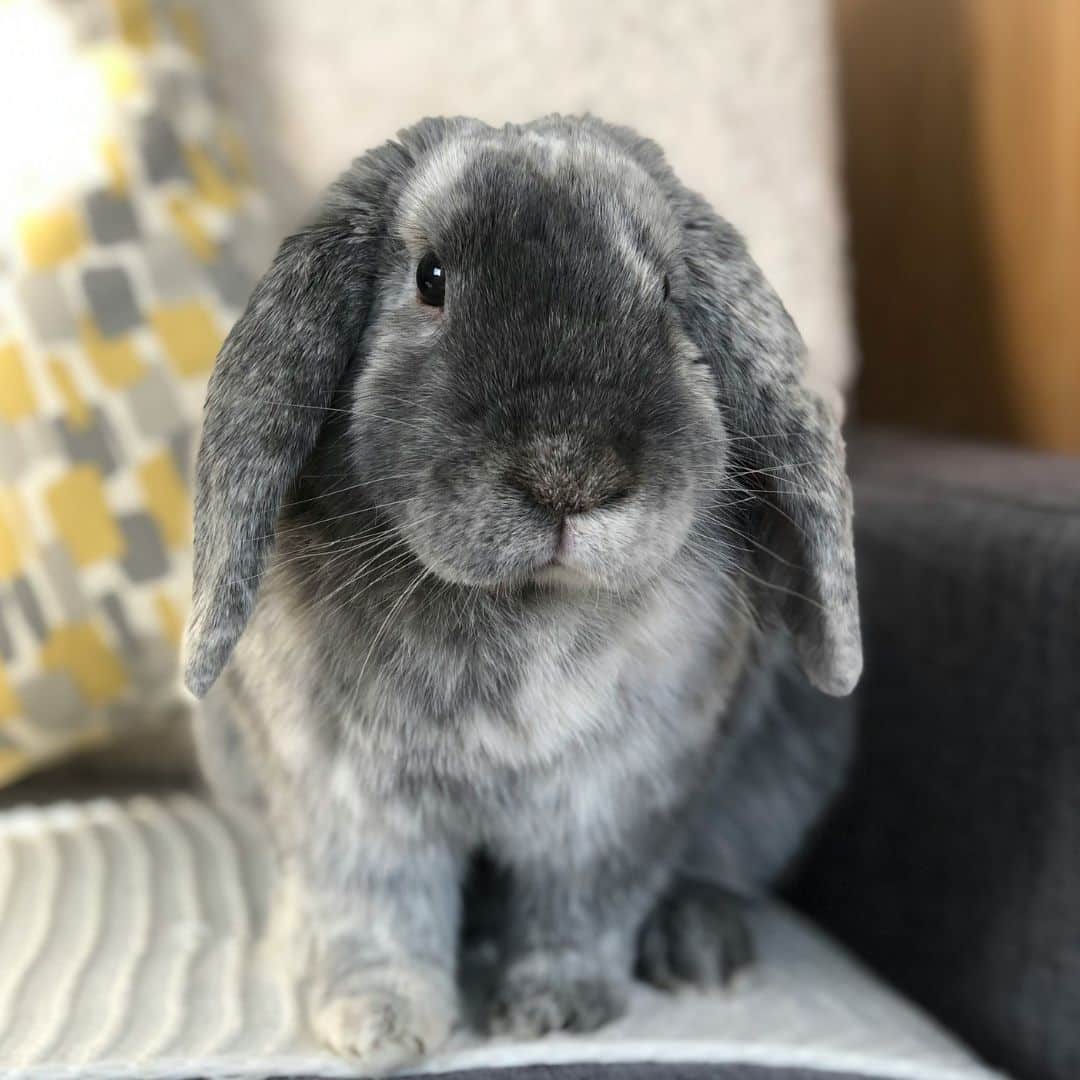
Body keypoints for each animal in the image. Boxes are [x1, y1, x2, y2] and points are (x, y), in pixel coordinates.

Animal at [184, 114, 862, 1073]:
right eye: (430, 279)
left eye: (667, 291)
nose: (568, 474)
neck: (525, 603)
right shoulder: (349, 803)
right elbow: (376, 917)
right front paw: (379, 1026)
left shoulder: (611, 804)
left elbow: (579, 912)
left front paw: (555, 1012)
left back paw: (697, 945)